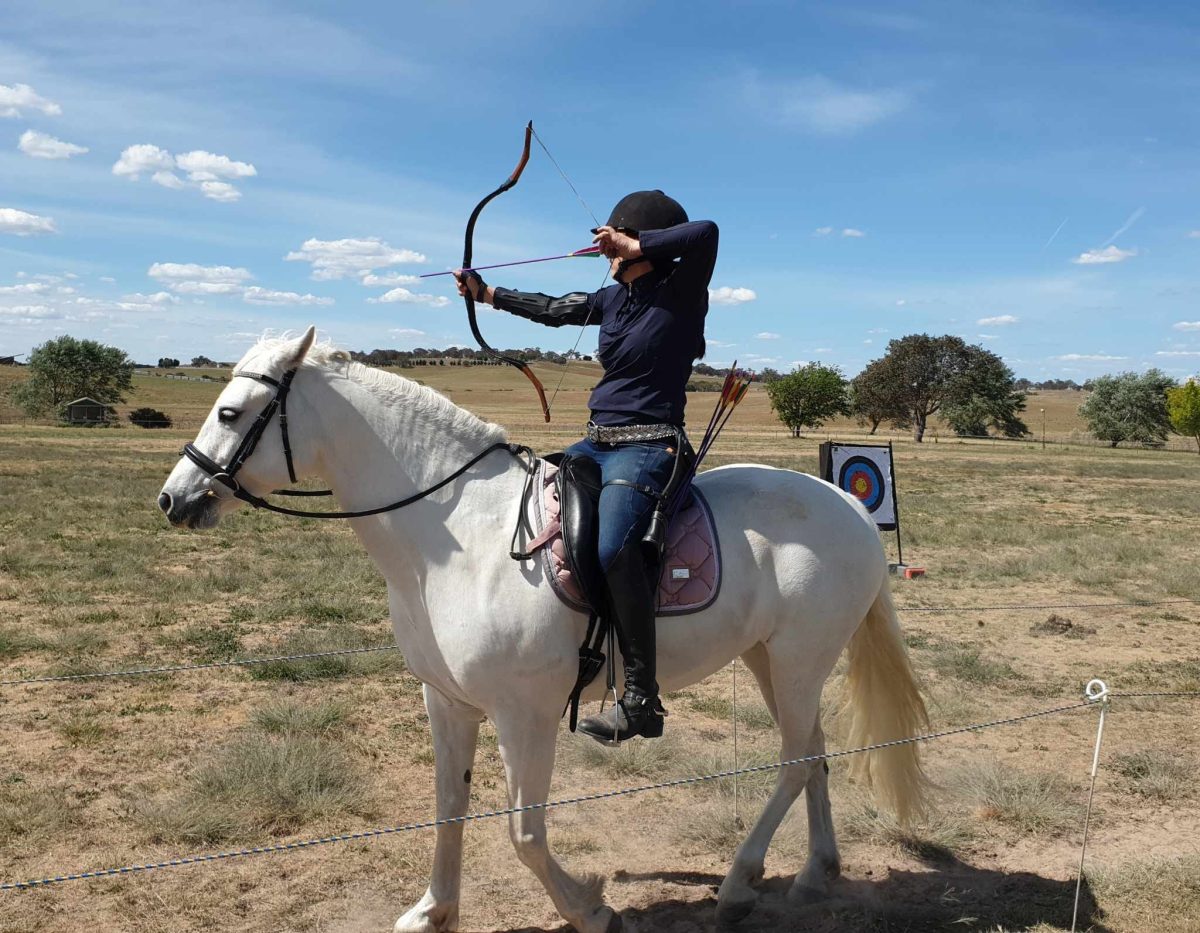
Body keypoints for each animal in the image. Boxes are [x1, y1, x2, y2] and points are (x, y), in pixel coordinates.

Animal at [159, 328, 926, 930]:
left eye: (231, 411)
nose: (174, 499)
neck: (456, 534)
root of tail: (851, 509)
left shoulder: (523, 713)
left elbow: (523, 831)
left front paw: (591, 909)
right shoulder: (446, 701)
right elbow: (448, 806)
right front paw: (433, 910)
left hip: (797, 660)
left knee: (795, 759)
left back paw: (739, 883)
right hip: (770, 660)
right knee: (813, 752)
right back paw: (816, 871)